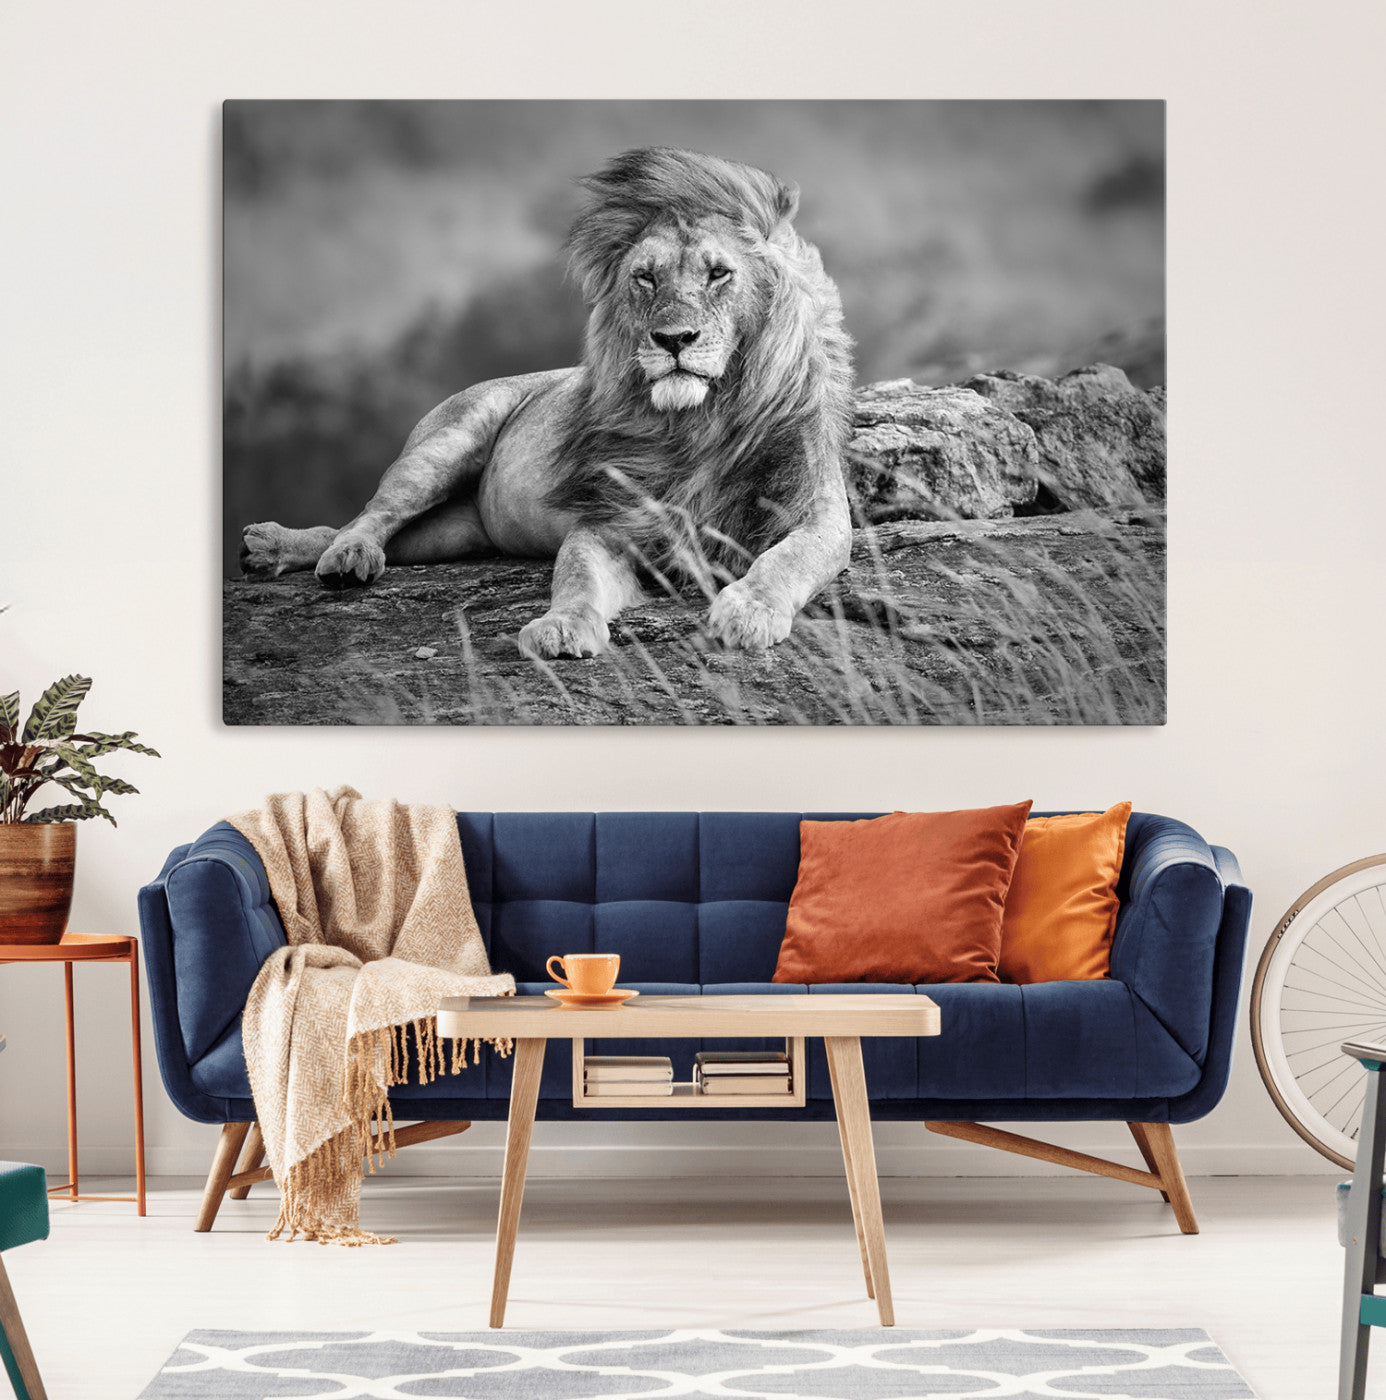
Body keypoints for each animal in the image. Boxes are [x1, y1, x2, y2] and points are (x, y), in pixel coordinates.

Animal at [240, 146, 855, 658]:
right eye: (645, 278)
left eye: (719, 273)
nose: (673, 339)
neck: (699, 422)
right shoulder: (609, 520)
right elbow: (576, 575)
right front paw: (561, 627)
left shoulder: (818, 513)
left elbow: (786, 559)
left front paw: (749, 611)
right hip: (444, 444)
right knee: (371, 515)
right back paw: (331, 555)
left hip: (455, 533)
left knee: (377, 532)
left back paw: (274, 549)